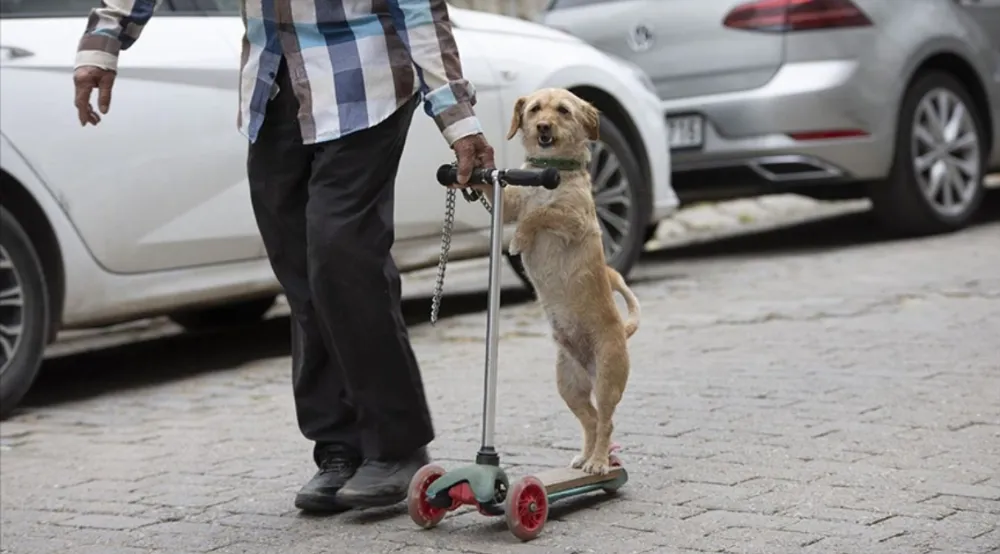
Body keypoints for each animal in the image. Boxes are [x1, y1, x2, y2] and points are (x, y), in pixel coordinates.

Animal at [474, 89, 640, 474]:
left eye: (564, 111)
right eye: (535, 110)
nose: (543, 127)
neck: (550, 174)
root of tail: (623, 333)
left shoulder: (573, 219)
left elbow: (540, 213)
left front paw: (519, 240)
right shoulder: (510, 206)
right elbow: (511, 200)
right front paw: (474, 170)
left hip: (607, 379)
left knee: (606, 421)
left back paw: (598, 462)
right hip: (568, 385)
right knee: (590, 420)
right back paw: (584, 456)